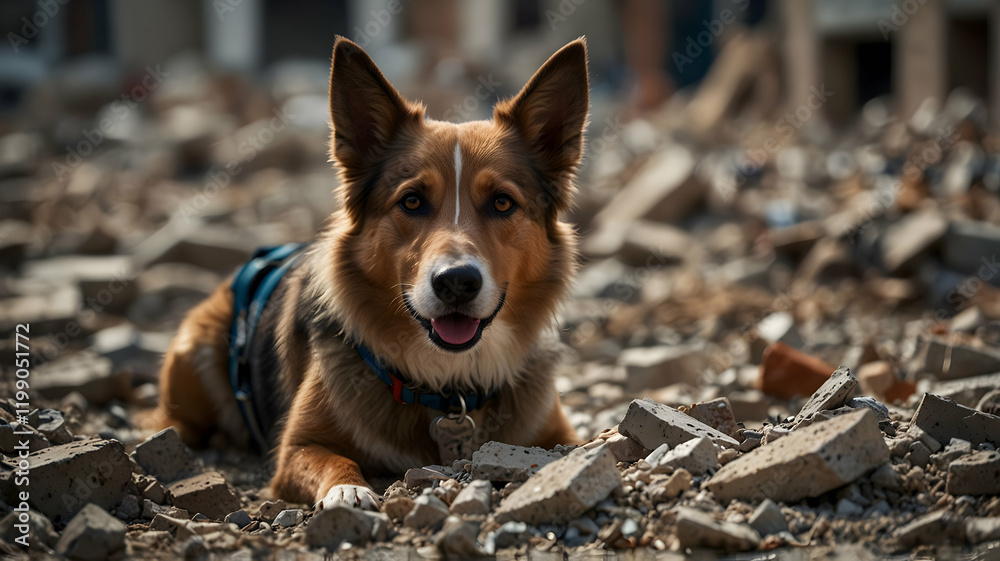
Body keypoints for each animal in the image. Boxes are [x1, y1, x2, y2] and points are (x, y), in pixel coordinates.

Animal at [148, 34, 584, 508]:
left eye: (502, 203)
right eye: (412, 201)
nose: (456, 283)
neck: (449, 384)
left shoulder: (561, 433)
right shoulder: (296, 449)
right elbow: (334, 460)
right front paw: (349, 492)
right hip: (195, 353)